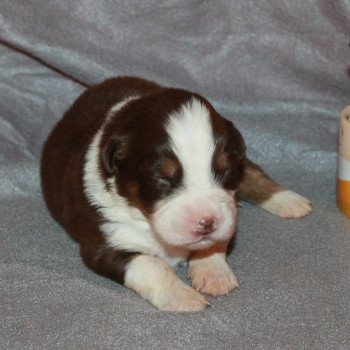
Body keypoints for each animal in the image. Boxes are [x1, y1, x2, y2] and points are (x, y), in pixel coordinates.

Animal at [41, 77, 312, 312]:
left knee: (253, 173)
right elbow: (150, 264)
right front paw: (181, 296)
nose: (207, 222)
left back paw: (290, 201)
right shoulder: (105, 243)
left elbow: (217, 238)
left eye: (224, 171)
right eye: (163, 178)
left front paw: (214, 274)